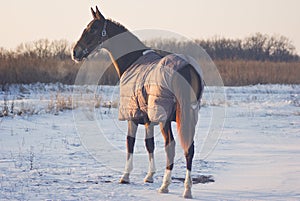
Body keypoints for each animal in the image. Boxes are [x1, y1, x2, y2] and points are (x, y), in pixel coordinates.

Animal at [72, 5, 204, 198]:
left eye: (93, 28)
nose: (75, 52)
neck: (133, 60)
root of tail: (186, 67)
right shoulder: (148, 119)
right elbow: (150, 145)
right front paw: (149, 176)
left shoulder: (132, 117)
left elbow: (130, 143)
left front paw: (125, 176)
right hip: (189, 116)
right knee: (189, 149)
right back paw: (187, 190)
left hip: (166, 119)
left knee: (170, 147)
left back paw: (165, 186)